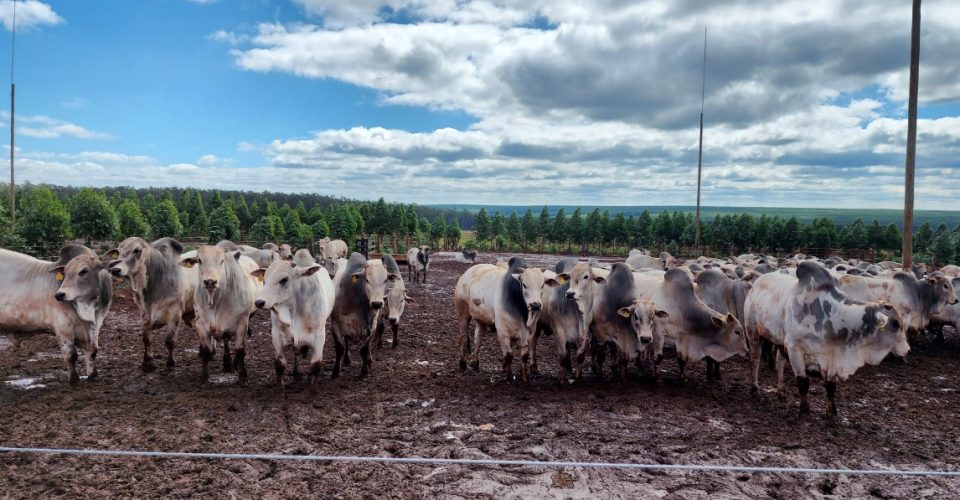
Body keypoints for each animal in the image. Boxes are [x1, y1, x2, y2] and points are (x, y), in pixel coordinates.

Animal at [0, 245, 112, 382]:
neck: (88, 310)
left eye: (84, 271)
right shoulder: (63, 327)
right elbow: (71, 355)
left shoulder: (97, 323)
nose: (59, 294)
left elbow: (93, 351)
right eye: (65, 273)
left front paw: (92, 375)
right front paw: (74, 379)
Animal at [106, 237, 198, 372]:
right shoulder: (144, 314)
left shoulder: (175, 314)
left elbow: (170, 341)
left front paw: (170, 364)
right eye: (119, 251)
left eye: (136, 250)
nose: (115, 270)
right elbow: (146, 339)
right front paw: (147, 362)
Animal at [180, 244, 260, 380]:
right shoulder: (201, 324)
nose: (210, 281)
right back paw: (226, 364)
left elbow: (240, 350)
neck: (215, 301)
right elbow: (206, 351)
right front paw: (204, 376)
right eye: (199, 260)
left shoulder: (242, 323)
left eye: (222, 261)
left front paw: (242, 375)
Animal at [253, 258, 336, 394]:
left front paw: (313, 391)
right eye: (264, 279)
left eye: (284, 279)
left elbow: (315, 364)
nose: (259, 302)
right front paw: (280, 391)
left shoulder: (319, 336)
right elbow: (279, 364)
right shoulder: (276, 336)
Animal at [744, 260, 908, 416]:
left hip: (779, 341)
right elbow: (803, 382)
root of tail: (757, 282)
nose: (907, 349)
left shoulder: (829, 357)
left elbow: (830, 386)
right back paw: (755, 390)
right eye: (896, 324)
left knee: (779, 363)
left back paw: (781, 391)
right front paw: (804, 411)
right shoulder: (794, 348)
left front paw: (832, 413)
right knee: (754, 360)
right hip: (753, 333)